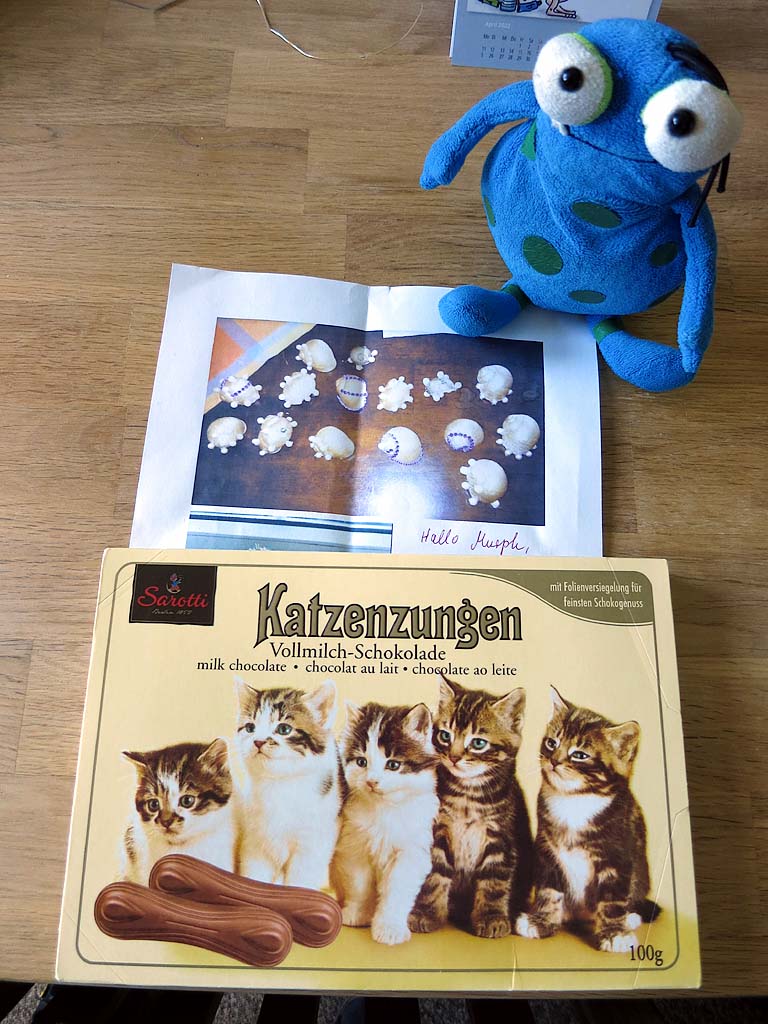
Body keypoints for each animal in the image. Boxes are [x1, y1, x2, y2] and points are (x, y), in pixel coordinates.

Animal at [229, 676, 342, 889]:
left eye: (283, 729)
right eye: (250, 727)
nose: (258, 741)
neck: (279, 784)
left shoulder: (311, 846)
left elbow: (300, 882)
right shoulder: (255, 841)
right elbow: (254, 876)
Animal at [330, 701, 438, 945]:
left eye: (393, 765)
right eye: (362, 762)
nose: (372, 781)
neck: (384, 810)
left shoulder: (411, 853)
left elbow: (396, 892)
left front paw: (390, 928)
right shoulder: (354, 846)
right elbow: (359, 885)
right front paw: (358, 914)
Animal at [408, 675, 531, 939]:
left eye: (478, 743)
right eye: (445, 736)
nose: (454, 758)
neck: (468, 795)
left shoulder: (501, 838)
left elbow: (494, 881)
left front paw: (491, 918)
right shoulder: (437, 831)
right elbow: (434, 875)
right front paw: (426, 914)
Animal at [515, 686, 661, 952]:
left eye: (580, 755)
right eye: (552, 743)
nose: (554, 760)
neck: (575, 801)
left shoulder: (617, 854)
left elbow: (612, 899)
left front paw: (614, 933)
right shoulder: (547, 849)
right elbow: (549, 889)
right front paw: (540, 921)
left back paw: (630, 917)